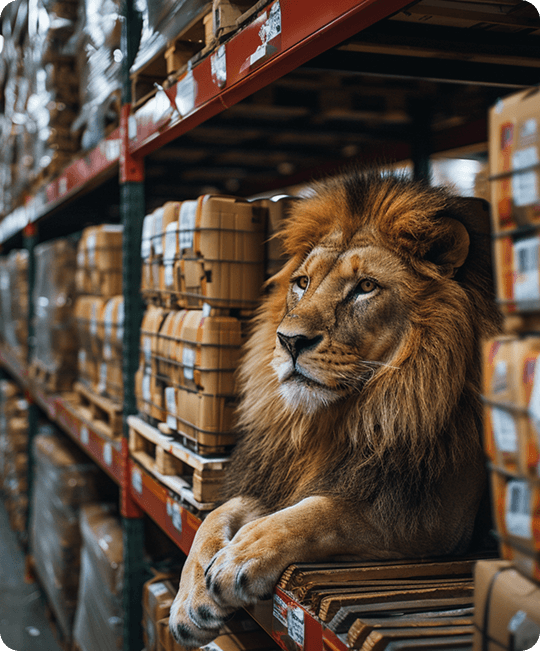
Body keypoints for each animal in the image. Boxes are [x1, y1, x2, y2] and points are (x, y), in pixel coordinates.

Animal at [169, 168, 502, 648]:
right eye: (302, 283)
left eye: (365, 287)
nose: (289, 341)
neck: (339, 419)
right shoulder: (280, 478)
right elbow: (216, 515)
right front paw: (188, 603)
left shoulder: (435, 514)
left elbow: (326, 511)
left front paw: (241, 557)